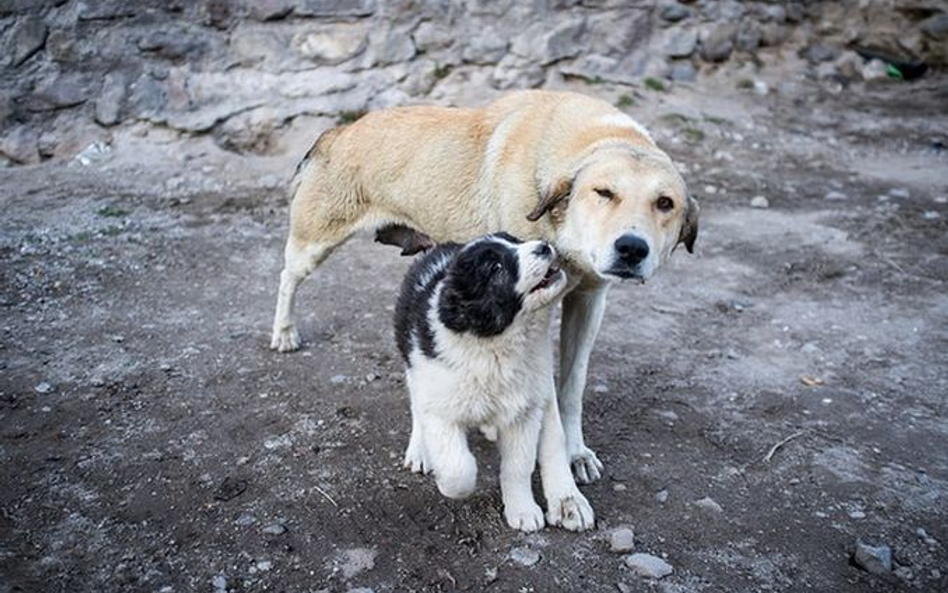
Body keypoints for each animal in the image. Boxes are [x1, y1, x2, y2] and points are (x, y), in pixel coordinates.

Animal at [270, 90, 700, 484]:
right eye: (604, 192)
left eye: (665, 203)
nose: (632, 248)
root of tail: (339, 131)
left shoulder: (590, 297)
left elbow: (572, 384)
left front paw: (576, 452)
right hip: (314, 243)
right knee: (287, 277)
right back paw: (284, 333)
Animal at [392, 231, 592, 532]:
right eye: (495, 268)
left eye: (515, 240)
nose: (544, 247)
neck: (496, 345)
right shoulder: (440, 405)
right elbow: (458, 468)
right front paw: (449, 483)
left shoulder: (524, 411)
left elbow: (518, 467)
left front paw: (522, 510)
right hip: (413, 366)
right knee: (417, 406)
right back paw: (420, 451)